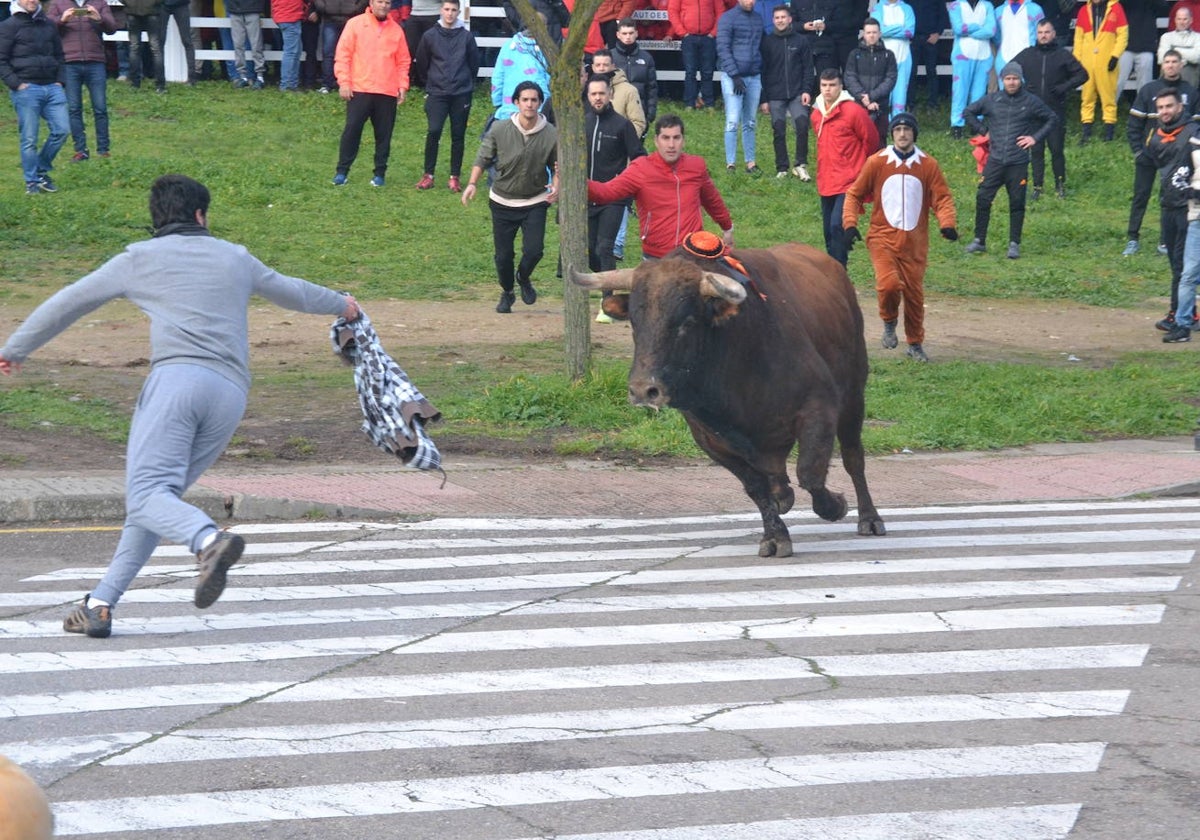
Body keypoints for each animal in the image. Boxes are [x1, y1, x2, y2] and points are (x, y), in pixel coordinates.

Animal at [566, 241, 888, 556]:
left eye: (687, 321)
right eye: (634, 321)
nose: (644, 390)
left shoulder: (820, 407)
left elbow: (810, 472)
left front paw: (835, 506)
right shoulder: (710, 438)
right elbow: (756, 487)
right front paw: (775, 536)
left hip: (854, 396)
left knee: (853, 457)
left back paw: (870, 518)